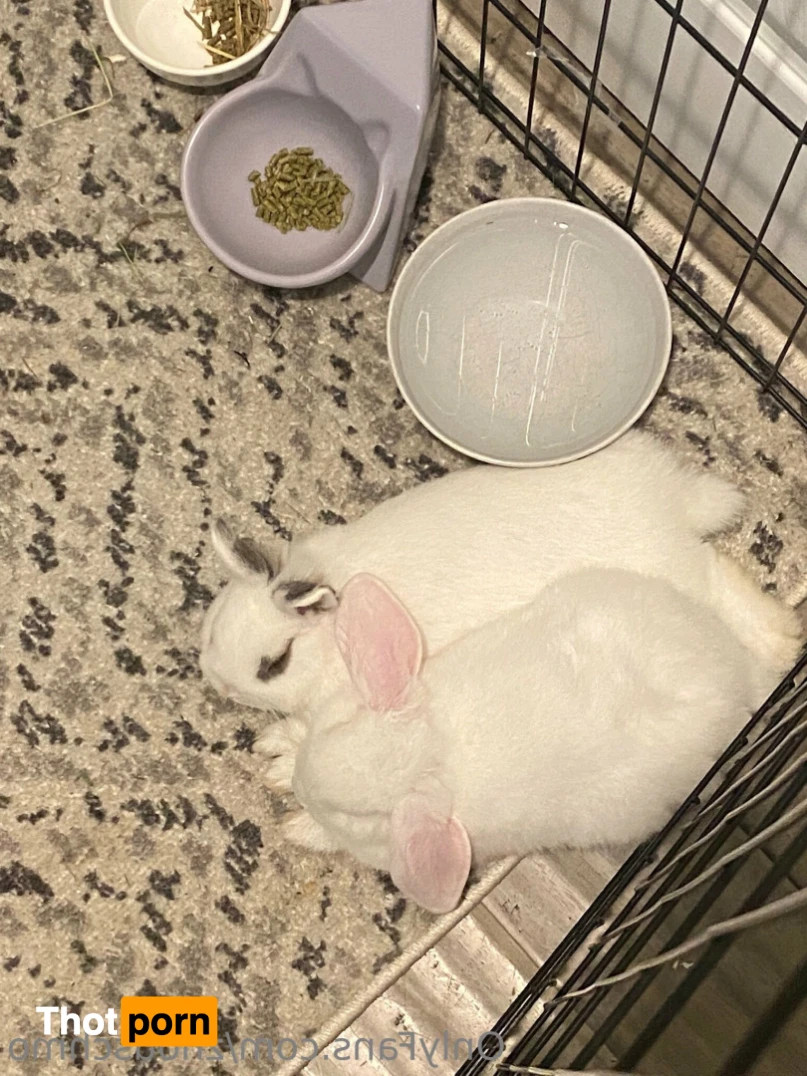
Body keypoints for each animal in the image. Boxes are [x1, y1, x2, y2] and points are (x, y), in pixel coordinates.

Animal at [200, 428, 801, 721]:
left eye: (275, 663)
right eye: (209, 630)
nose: (218, 684)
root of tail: (672, 501)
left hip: (671, 572)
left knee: (716, 578)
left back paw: (784, 642)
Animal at [281, 568, 792, 914]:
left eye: (359, 813)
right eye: (337, 726)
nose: (302, 784)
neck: (437, 750)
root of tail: (735, 682)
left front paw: (295, 827)